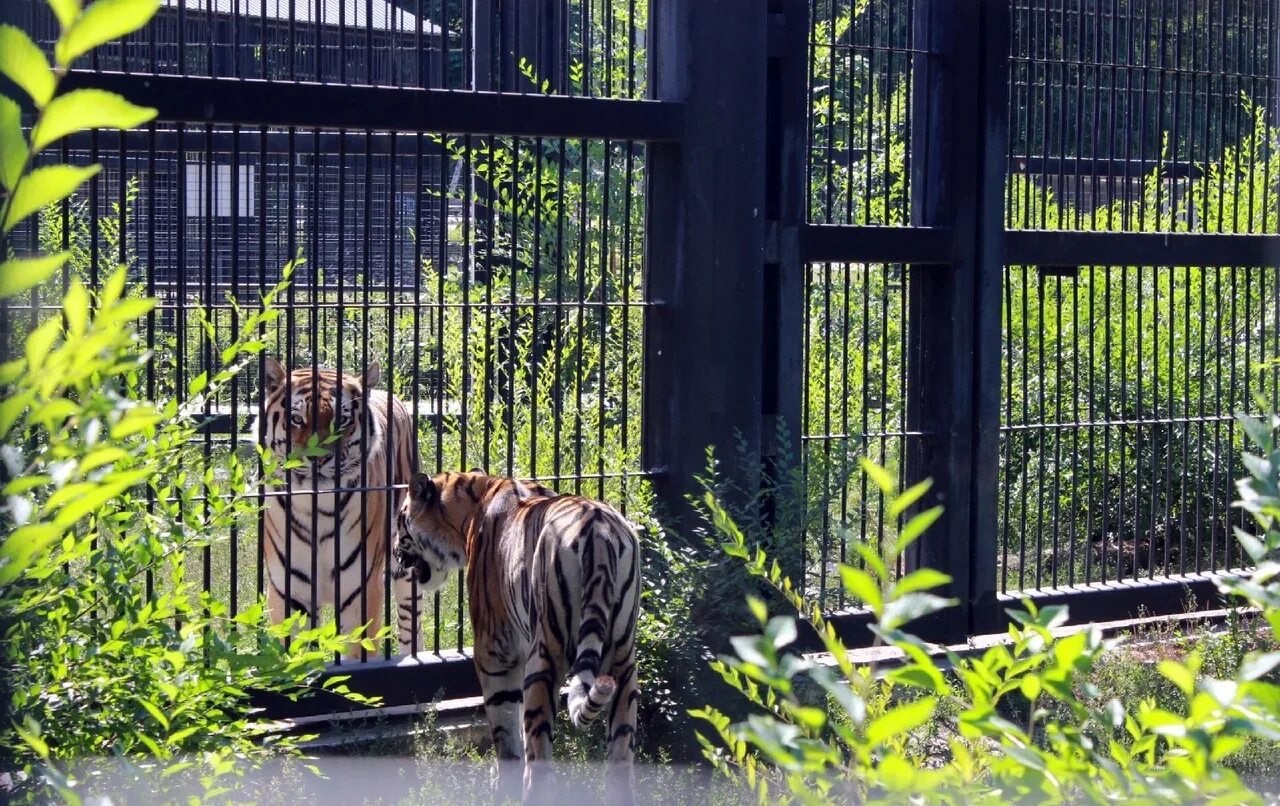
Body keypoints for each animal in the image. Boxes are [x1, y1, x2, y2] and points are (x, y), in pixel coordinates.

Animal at [254, 355, 424, 660]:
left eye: (341, 421)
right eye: (297, 419)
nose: (318, 458)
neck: (317, 506)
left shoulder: (359, 589)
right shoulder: (290, 590)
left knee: (410, 624)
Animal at [391, 470, 640, 803]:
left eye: (400, 519)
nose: (394, 551)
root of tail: (599, 533)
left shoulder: (495, 652)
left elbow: (506, 734)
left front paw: (501, 787)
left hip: (545, 656)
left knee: (540, 766)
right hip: (623, 662)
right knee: (621, 762)